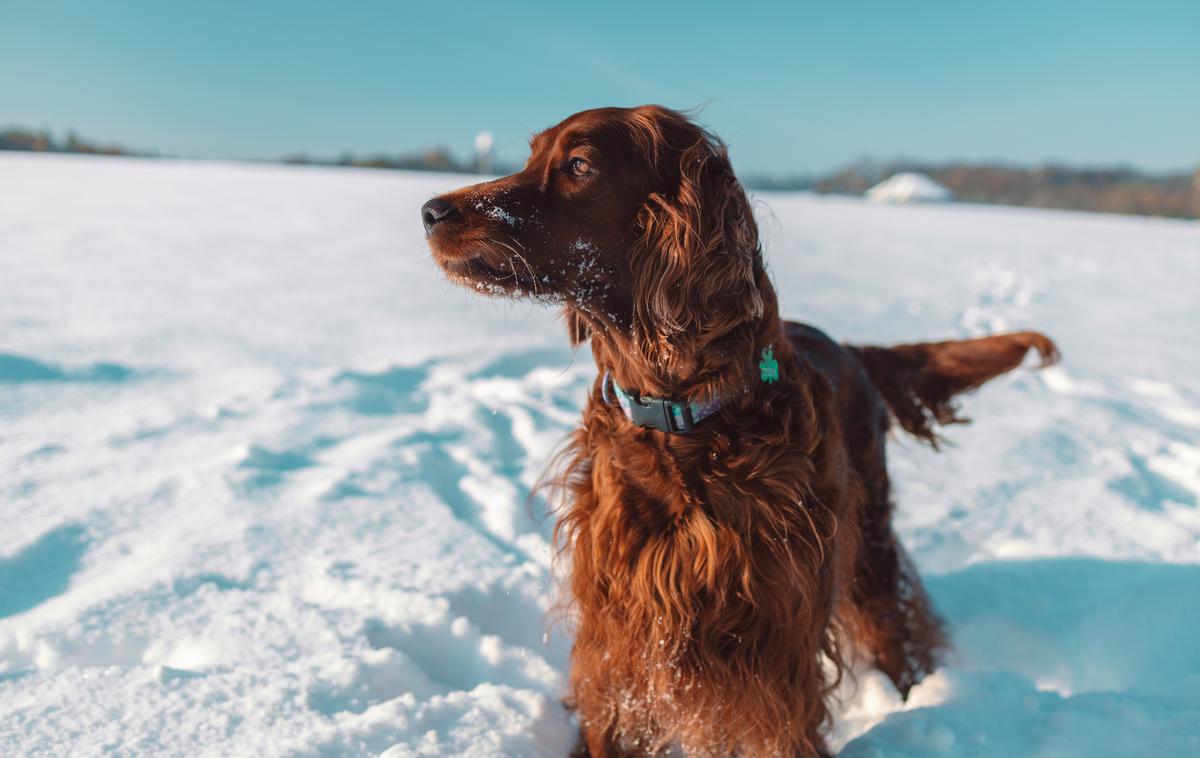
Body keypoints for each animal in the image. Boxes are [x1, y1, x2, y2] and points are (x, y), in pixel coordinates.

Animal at [422, 103, 1060, 753]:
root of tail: (849, 347)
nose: (430, 211)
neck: (680, 420)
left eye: (579, 165)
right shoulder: (618, 632)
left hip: (870, 545)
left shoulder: (774, 647)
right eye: (531, 157)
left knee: (899, 628)